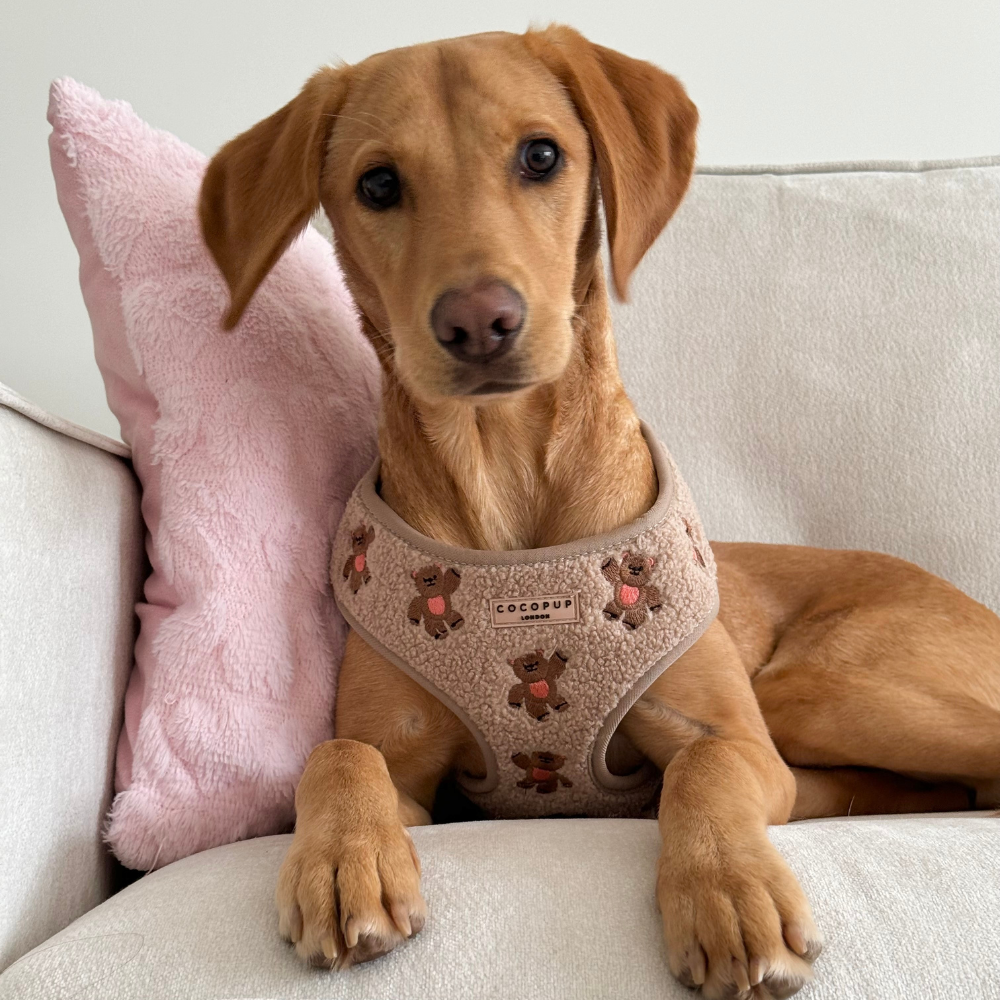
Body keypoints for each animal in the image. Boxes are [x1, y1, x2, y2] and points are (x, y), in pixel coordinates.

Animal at [197, 27, 1000, 996]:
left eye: (542, 156)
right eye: (378, 185)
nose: (479, 322)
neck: (510, 488)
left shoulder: (736, 741)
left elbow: (702, 767)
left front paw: (727, 889)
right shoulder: (420, 786)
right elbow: (338, 754)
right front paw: (342, 859)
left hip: (815, 690)